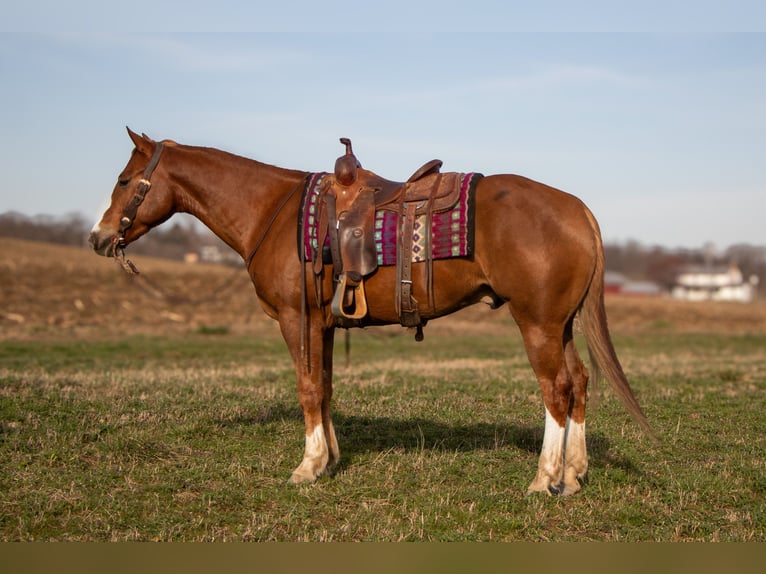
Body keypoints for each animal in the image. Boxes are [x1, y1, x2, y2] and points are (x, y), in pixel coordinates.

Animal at [91, 128, 656, 498]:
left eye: (123, 179)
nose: (98, 238)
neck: (274, 211)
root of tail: (576, 208)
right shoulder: (321, 324)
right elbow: (324, 387)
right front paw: (329, 460)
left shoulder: (296, 319)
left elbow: (307, 388)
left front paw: (307, 467)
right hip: (561, 324)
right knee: (579, 383)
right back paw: (574, 474)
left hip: (537, 323)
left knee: (556, 390)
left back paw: (545, 479)